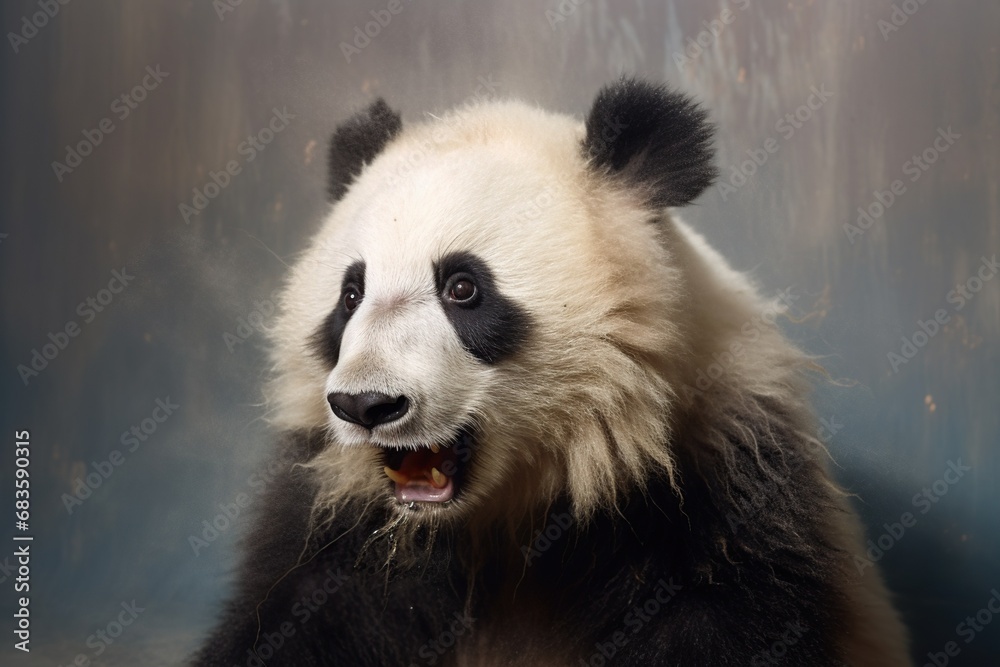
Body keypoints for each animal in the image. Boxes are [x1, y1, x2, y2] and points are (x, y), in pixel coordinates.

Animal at [195, 78, 912, 666]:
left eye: (462, 288)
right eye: (351, 294)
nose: (367, 406)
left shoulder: (726, 484)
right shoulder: (336, 530)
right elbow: (294, 619)